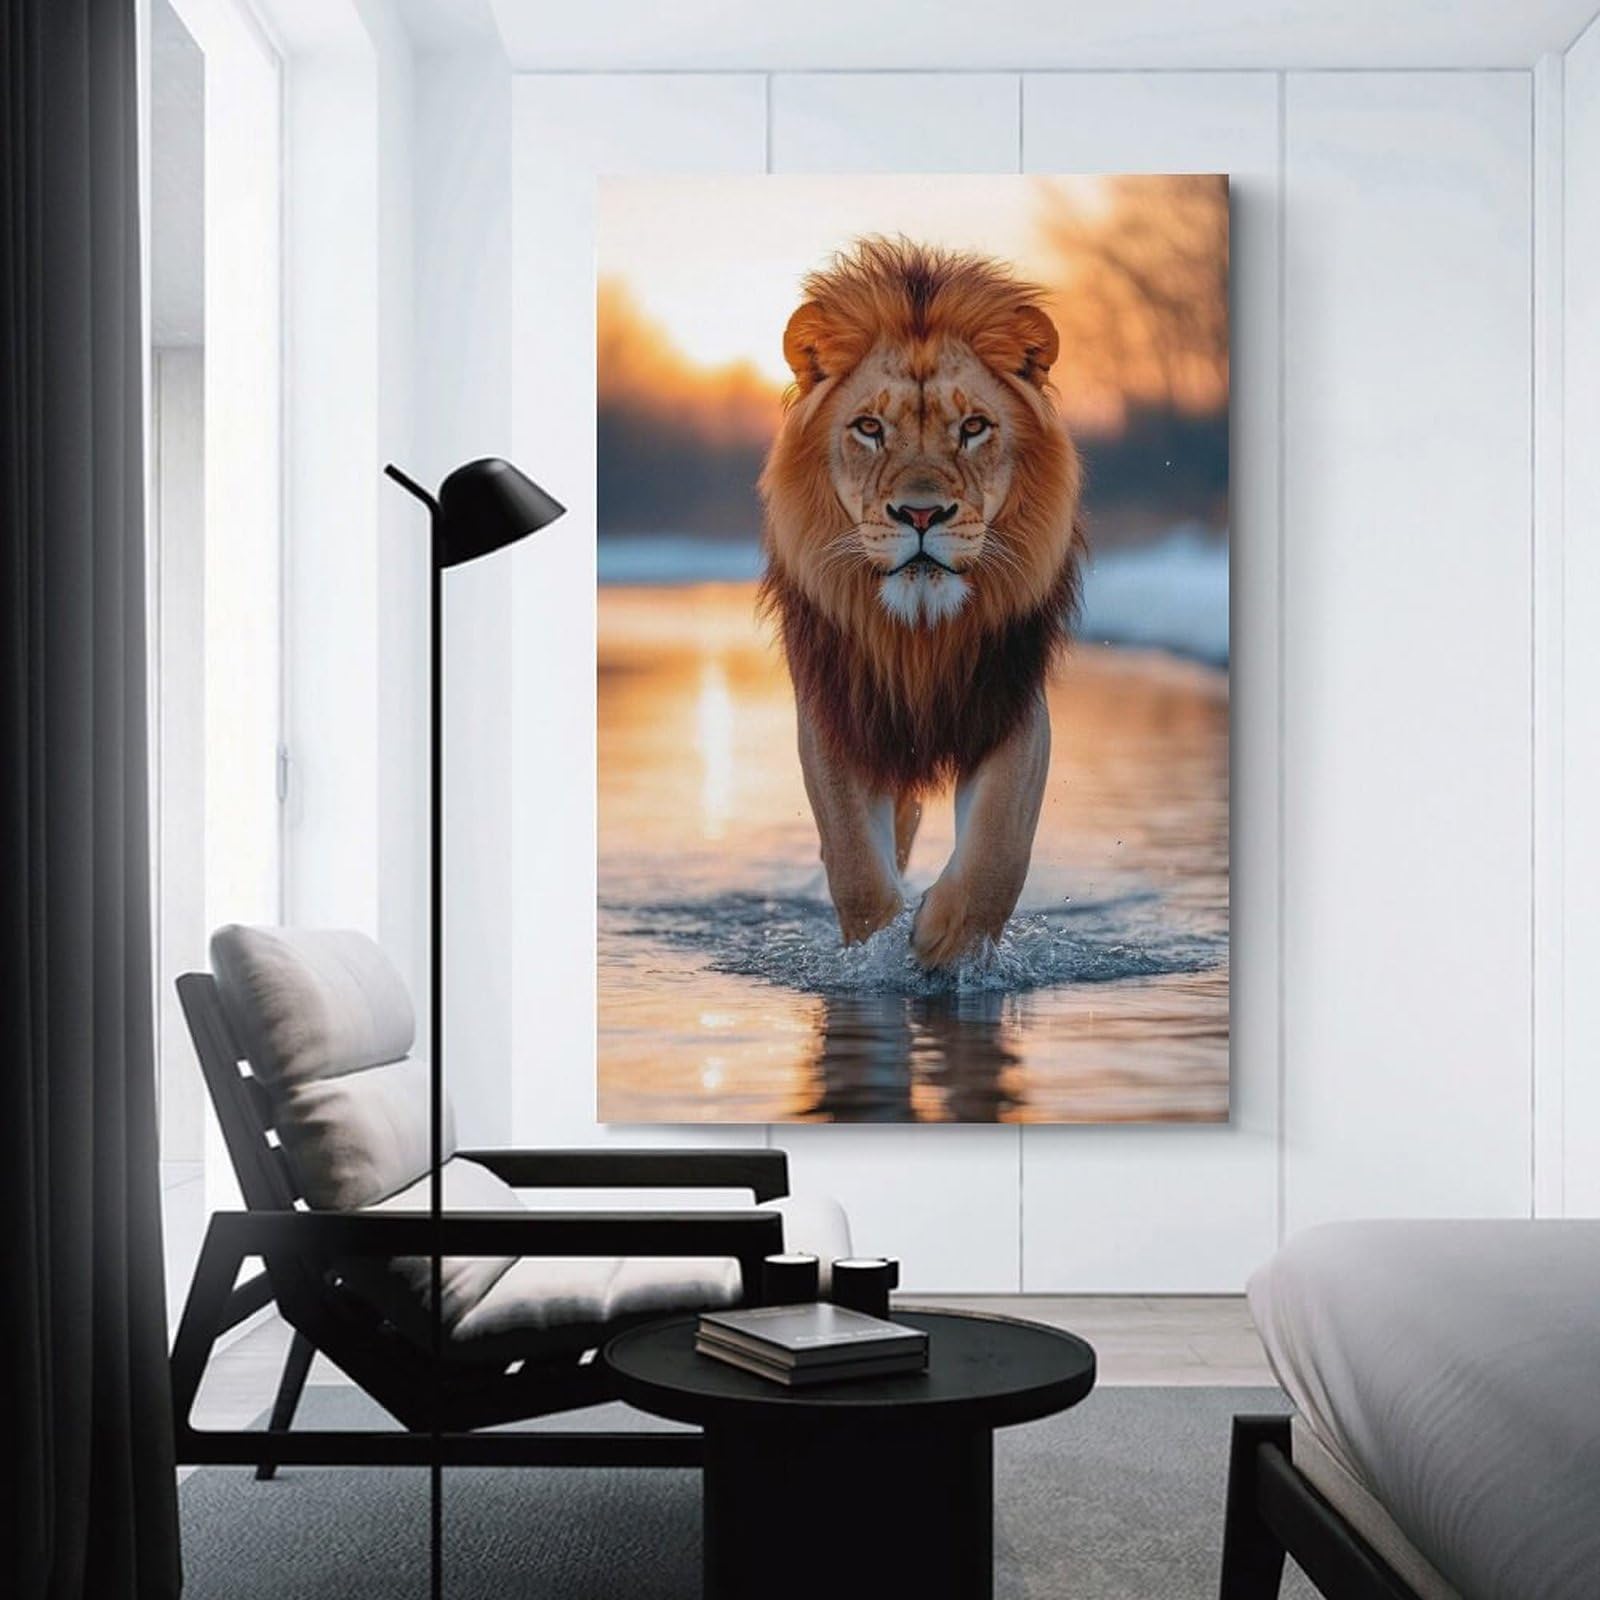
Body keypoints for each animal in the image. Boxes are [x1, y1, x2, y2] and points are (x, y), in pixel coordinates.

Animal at [758, 236, 1085, 969]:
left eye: (974, 427)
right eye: (869, 427)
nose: (921, 514)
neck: (920, 634)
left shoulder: (1009, 702)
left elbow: (997, 849)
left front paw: (946, 944)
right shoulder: (837, 713)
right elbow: (855, 861)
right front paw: (878, 952)